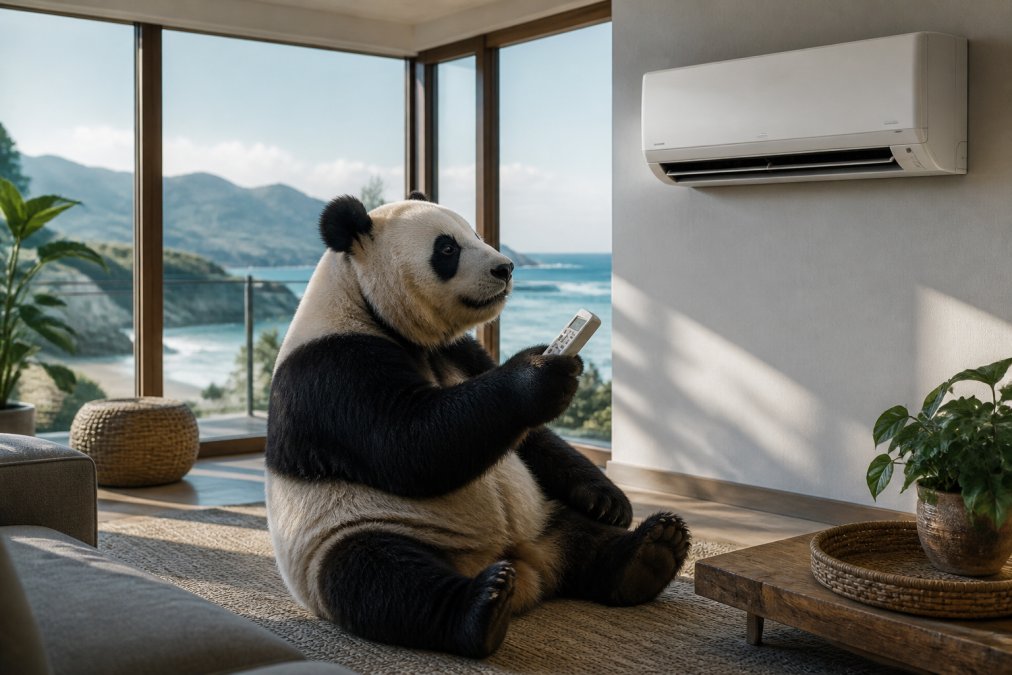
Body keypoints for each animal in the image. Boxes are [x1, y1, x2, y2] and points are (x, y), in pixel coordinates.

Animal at [265, 192, 691, 658]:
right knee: (380, 578)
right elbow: (409, 445)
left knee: (582, 538)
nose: (505, 267)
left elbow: (527, 439)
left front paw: (608, 499)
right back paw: (481, 607)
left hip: (541, 511)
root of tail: (528, 567)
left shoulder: (460, 352)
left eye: (476, 233)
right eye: (447, 248)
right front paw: (540, 372)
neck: (362, 301)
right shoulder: (332, 369)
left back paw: (650, 552)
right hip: (348, 532)